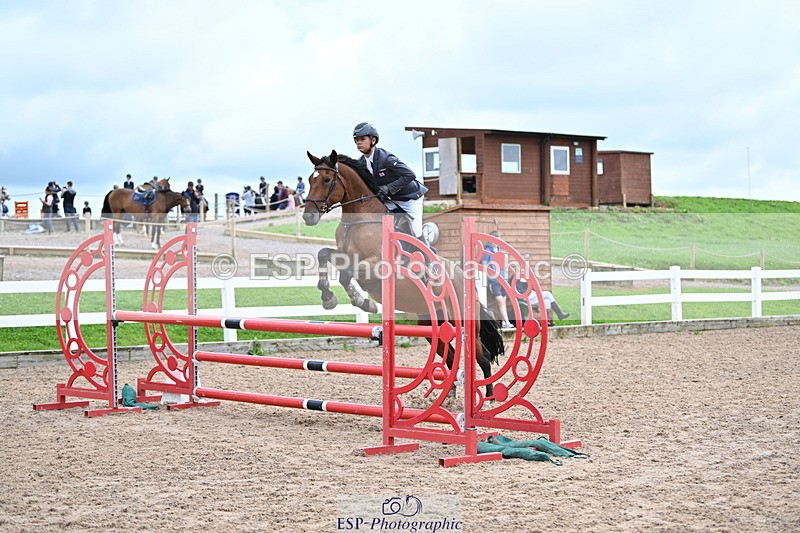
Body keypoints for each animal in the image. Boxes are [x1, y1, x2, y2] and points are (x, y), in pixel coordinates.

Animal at [302, 149, 505, 398]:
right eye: (310, 179)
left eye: (327, 179)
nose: (308, 216)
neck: (360, 220)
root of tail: (464, 279)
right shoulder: (342, 255)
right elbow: (324, 255)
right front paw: (328, 298)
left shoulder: (377, 266)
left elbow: (346, 274)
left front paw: (362, 302)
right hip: (432, 325)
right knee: (450, 358)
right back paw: (449, 397)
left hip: (465, 324)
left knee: (482, 357)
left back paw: (489, 398)